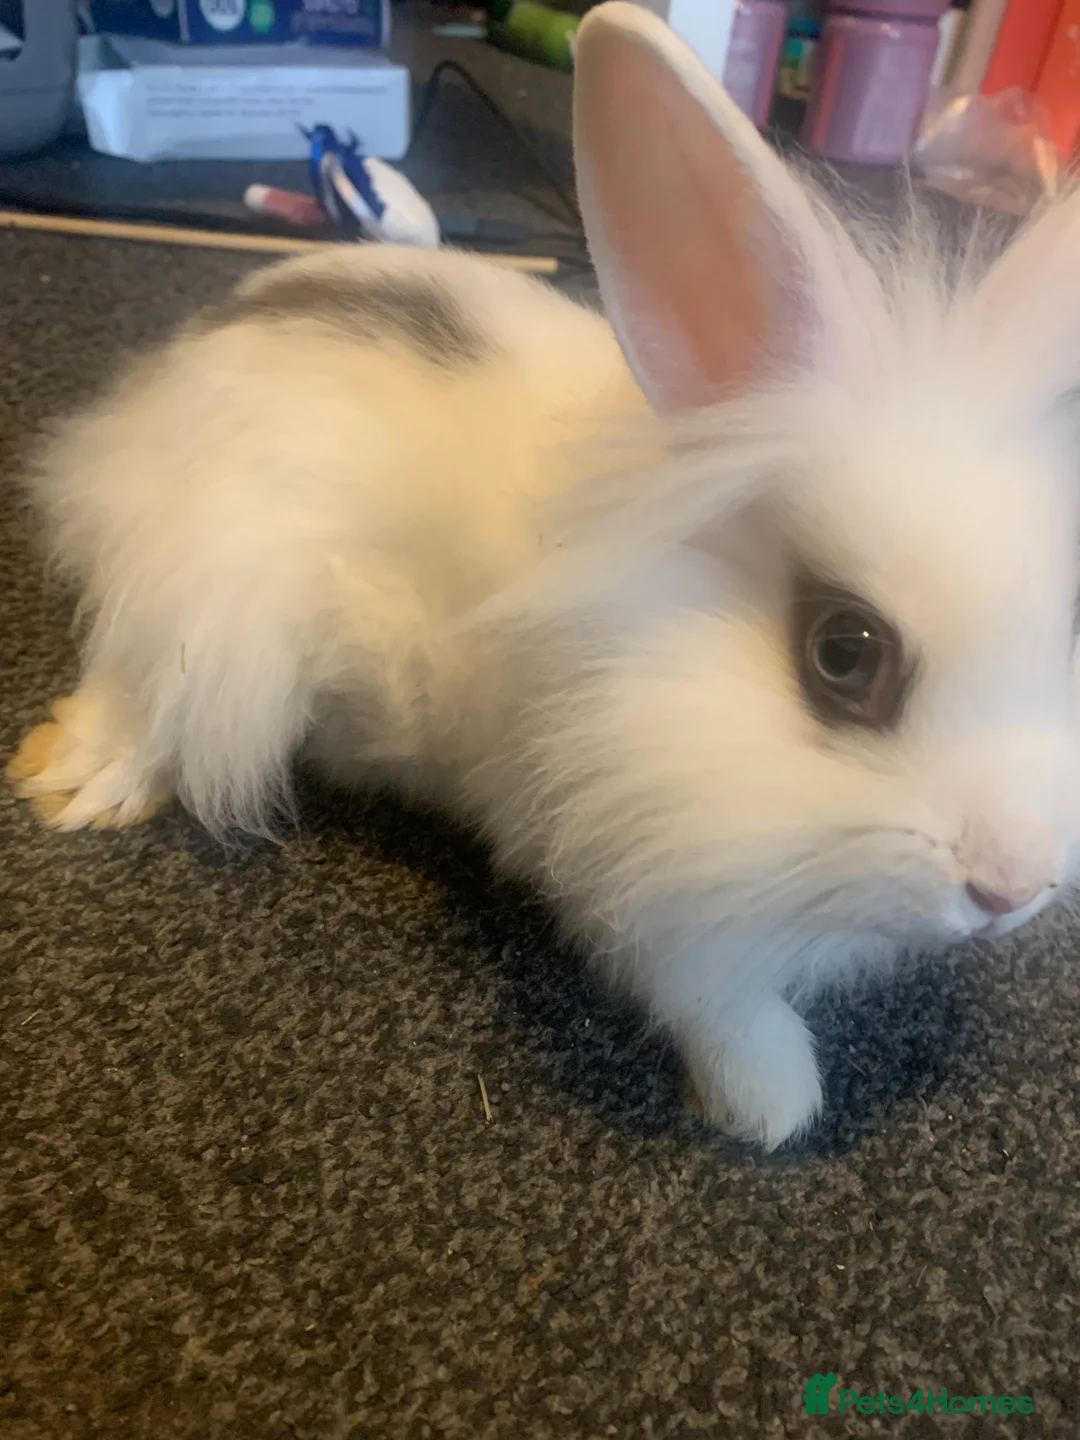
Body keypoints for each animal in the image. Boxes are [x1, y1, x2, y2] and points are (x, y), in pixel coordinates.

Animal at [10, 0, 1080, 1150]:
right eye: (845, 651)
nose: (1010, 887)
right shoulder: (638, 885)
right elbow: (717, 1001)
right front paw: (771, 1106)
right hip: (214, 598)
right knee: (143, 682)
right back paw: (75, 782)